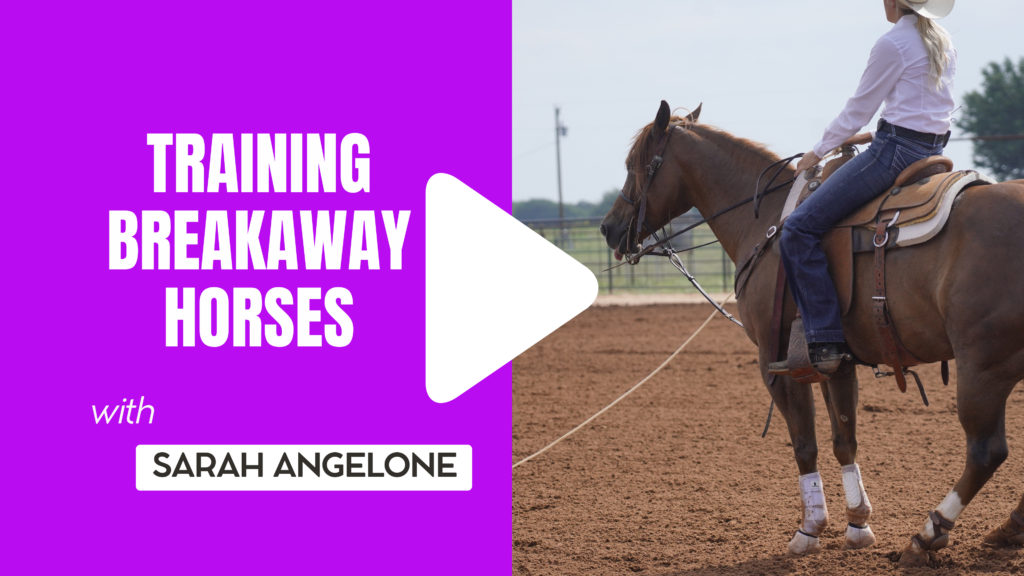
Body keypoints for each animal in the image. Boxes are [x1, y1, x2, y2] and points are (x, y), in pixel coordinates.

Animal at [599, 101, 1024, 567]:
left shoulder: (777, 362)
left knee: (985, 452)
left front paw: (810, 529)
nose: (608, 227)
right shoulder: (835, 361)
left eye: (634, 165)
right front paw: (857, 524)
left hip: (983, 367)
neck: (768, 221)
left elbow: (805, 443)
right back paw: (1007, 529)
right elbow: (844, 439)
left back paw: (928, 535)